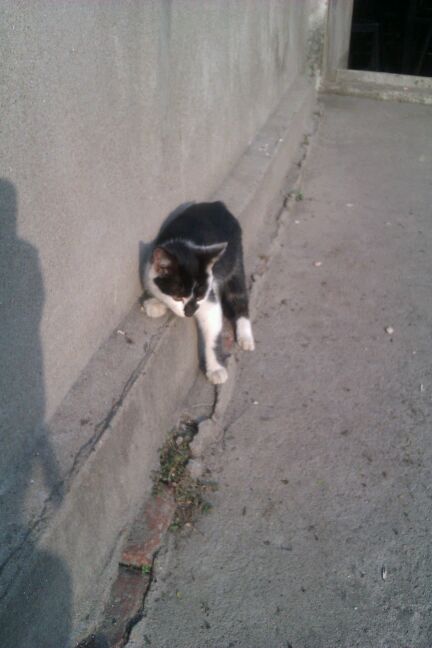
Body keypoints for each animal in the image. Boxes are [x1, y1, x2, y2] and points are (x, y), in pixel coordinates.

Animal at [143, 201, 255, 384]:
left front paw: (216, 369)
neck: (182, 246)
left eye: (201, 296)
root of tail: (217, 204)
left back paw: (245, 335)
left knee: (239, 296)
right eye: (177, 297)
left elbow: (213, 328)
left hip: (235, 258)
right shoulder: (149, 268)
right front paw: (154, 302)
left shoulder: (210, 299)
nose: (190, 312)